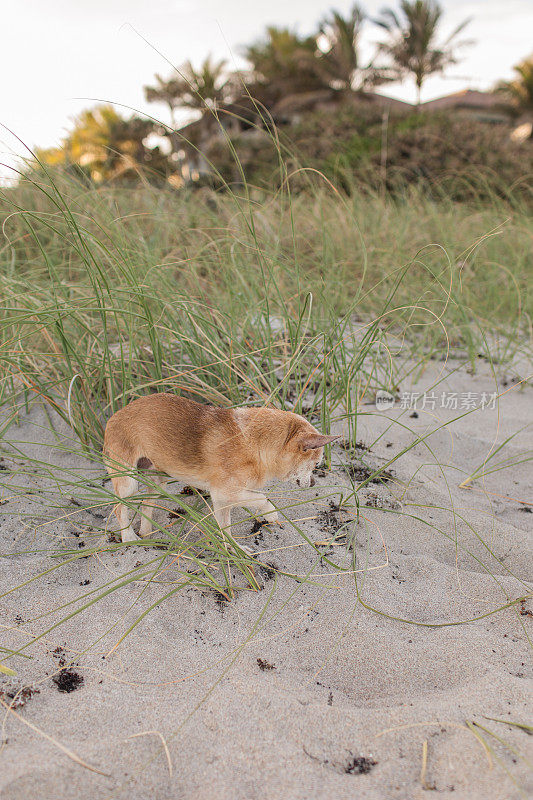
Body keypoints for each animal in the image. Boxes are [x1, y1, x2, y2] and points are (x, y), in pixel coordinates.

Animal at [102, 394, 338, 544]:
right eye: (316, 465)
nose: (314, 482)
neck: (255, 442)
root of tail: (113, 416)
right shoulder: (223, 493)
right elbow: (262, 498)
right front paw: (270, 515)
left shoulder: (224, 500)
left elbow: (227, 529)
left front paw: (234, 550)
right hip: (128, 483)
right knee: (119, 508)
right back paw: (129, 538)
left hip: (157, 478)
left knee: (145, 504)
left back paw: (147, 534)